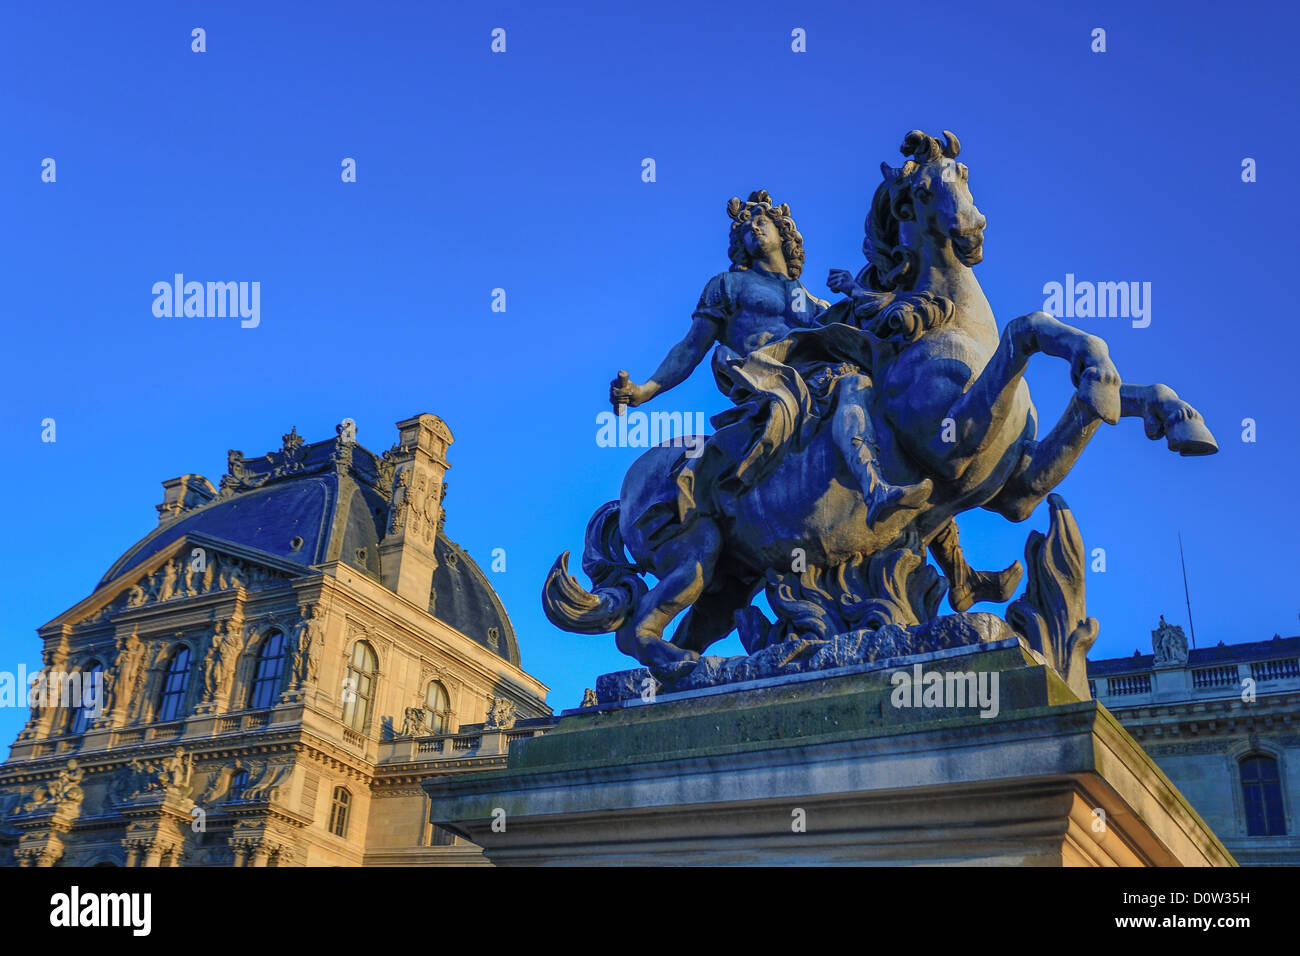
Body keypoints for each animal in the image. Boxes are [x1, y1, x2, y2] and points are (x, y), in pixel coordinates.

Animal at [543, 130, 1211, 676]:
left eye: (964, 172)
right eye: (922, 188)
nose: (973, 232)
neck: (946, 323)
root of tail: (630, 484)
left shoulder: (1017, 487)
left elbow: (1083, 379)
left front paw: (1173, 415)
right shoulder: (957, 446)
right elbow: (1028, 328)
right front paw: (1101, 379)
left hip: (724, 578)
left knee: (682, 626)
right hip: (693, 551)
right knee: (635, 632)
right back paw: (691, 668)